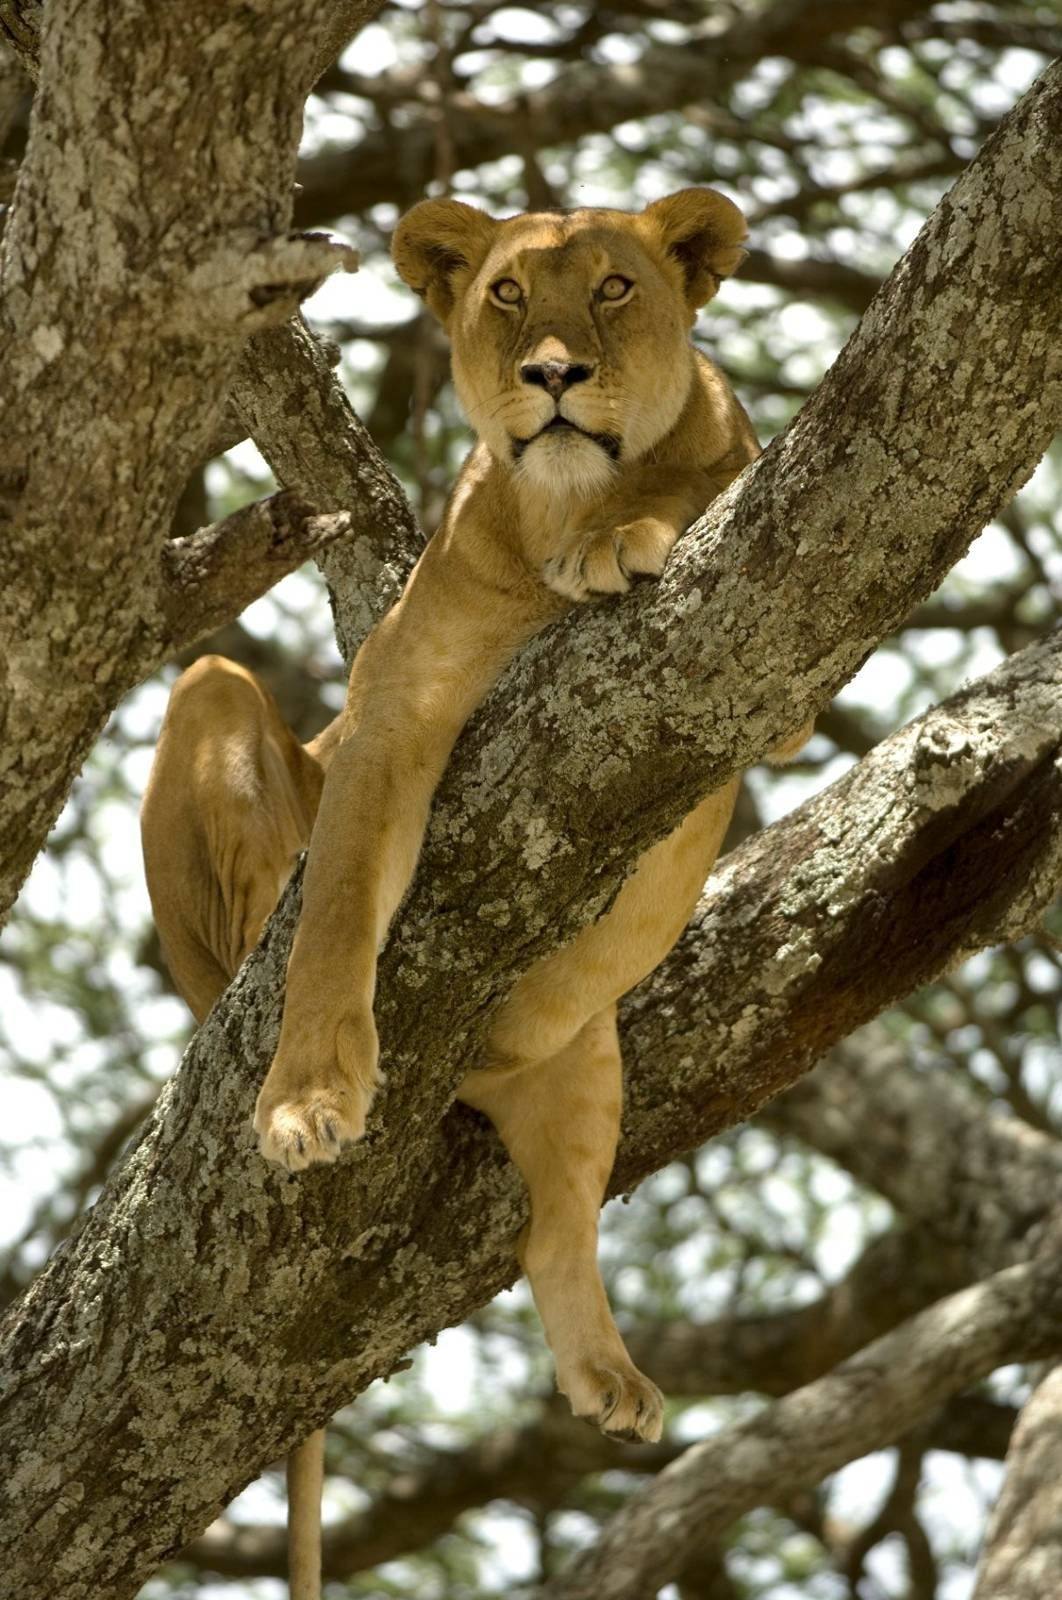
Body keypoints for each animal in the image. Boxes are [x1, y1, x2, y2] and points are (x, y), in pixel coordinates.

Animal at [142, 188, 806, 1599]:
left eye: (614, 289)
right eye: (507, 292)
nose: (553, 375)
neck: (557, 507)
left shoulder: (777, 686)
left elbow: (688, 504)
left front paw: (631, 535)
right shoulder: (393, 714)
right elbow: (340, 913)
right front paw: (306, 1102)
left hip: (588, 1055)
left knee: (556, 1231)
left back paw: (612, 1378)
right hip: (213, 690)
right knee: (247, 870)